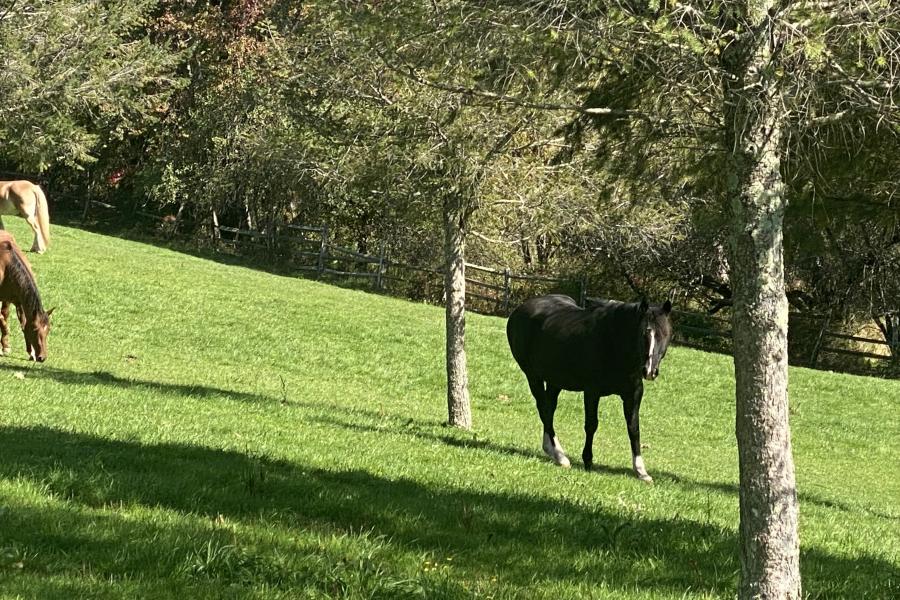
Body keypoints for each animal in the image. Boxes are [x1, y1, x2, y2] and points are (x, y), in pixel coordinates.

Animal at [0, 230, 52, 360]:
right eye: (35, 329)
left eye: (48, 329)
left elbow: (21, 322)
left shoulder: (17, 301)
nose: (42, 357)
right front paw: (5, 347)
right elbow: (2, 320)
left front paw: (30, 352)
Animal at [502, 294, 672, 482]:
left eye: (665, 334)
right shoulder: (592, 392)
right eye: (643, 333)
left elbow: (633, 428)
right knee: (544, 410)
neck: (614, 343)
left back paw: (551, 449)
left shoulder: (633, 394)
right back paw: (560, 456)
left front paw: (641, 471)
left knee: (549, 409)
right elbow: (591, 425)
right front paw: (588, 460)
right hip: (533, 376)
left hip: (555, 381)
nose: (650, 371)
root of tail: (521, 309)